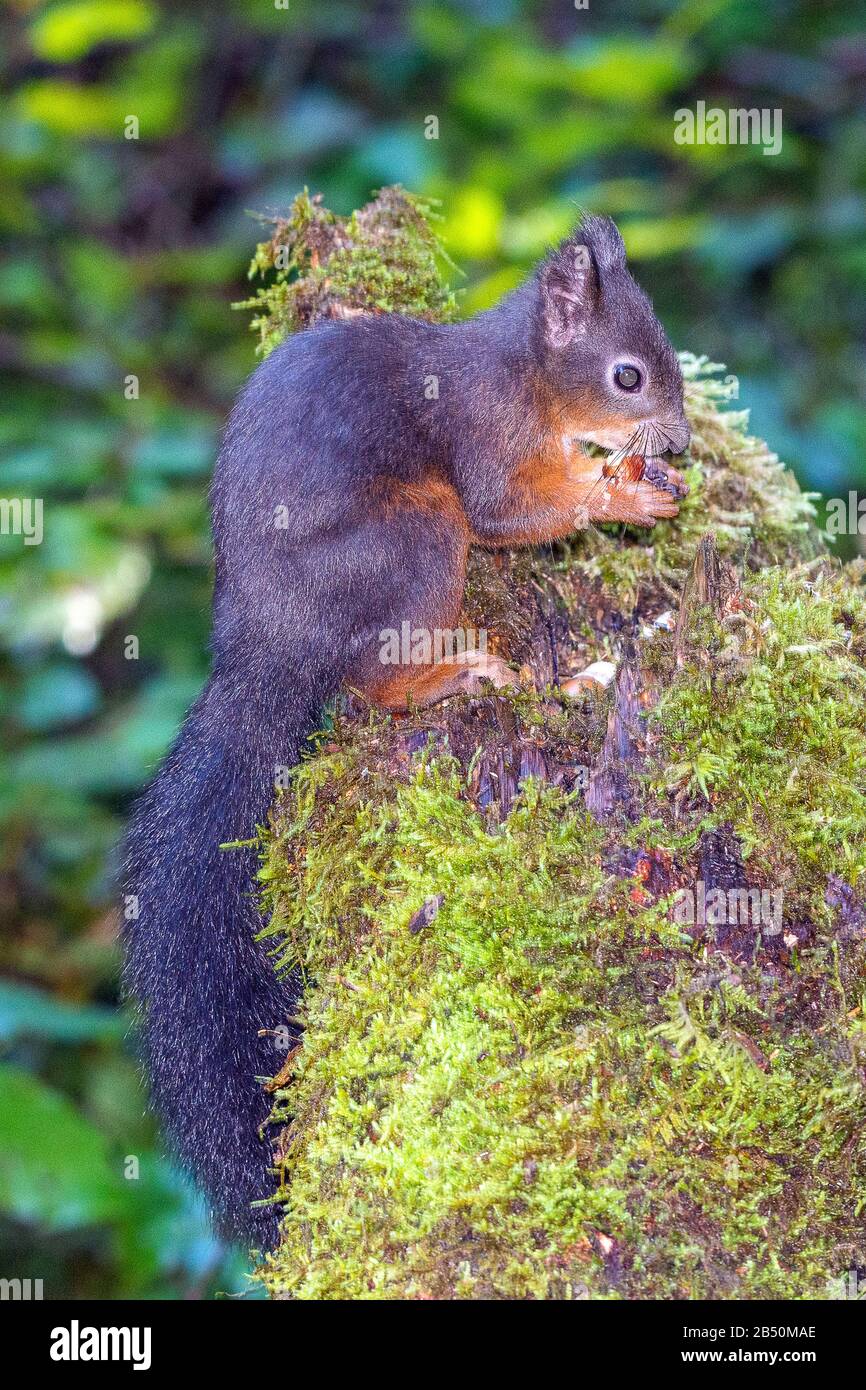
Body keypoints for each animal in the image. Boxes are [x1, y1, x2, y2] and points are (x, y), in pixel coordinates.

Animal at [122, 216, 692, 1251]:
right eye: (628, 375)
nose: (682, 441)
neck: (525, 378)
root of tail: (263, 645)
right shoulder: (484, 442)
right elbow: (510, 510)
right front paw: (621, 494)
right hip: (419, 535)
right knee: (371, 678)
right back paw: (447, 673)